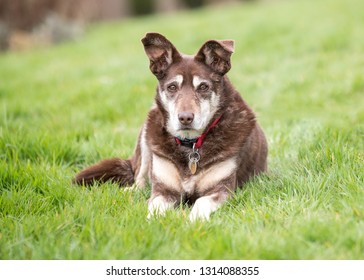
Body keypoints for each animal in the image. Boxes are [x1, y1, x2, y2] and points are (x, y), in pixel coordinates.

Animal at [74, 32, 268, 221]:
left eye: (203, 87)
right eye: (172, 87)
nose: (185, 118)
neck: (191, 145)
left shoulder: (221, 190)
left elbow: (201, 203)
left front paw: (193, 221)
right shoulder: (164, 190)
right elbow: (154, 207)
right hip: (147, 133)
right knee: (139, 179)